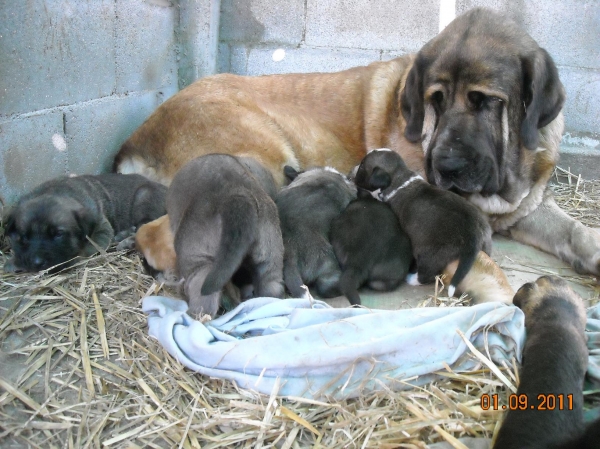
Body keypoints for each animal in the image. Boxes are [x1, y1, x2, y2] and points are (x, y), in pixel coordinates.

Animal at [3, 173, 168, 272]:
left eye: (58, 235)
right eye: (23, 238)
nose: (37, 263)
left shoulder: (101, 228)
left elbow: (86, 250)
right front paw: (14, 261)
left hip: (144, 194)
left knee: (145, 228)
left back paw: (126, 240)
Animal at [113, 8, 600, 276]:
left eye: (487, 103)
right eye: (436, 100)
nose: (446, 166)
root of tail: (137, 135)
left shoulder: (526, 208)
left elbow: (573, 230)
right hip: (256, 165)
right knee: (157, 235)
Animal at [354, 150, 490, 298]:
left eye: (362, 166)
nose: (352, 172)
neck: (399, 177)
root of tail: (473, 234)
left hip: (429, 253)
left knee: (426, 274)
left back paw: (412, 279)